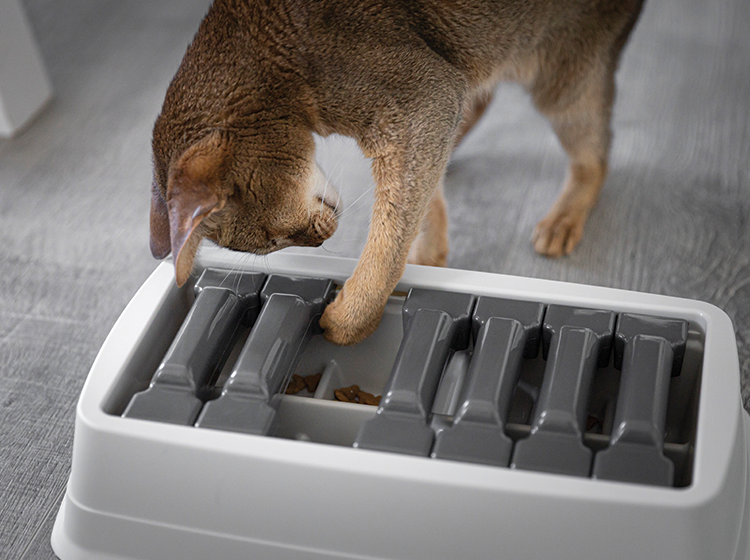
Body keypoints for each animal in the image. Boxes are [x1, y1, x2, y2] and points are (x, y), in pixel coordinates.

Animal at [148, 0, 648, 346]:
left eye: (275, 240)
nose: (320, 242)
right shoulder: (429, 107)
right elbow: (417, 199)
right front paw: (429, 250)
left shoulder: (422, 98)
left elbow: (389, 233)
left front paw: (351, 318)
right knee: (479, 96)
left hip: (563, 76)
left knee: (596, 153)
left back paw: (563, 219)